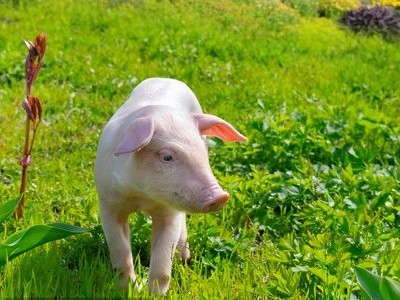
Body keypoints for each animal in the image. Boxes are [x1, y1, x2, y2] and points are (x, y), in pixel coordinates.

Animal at [94, 78, 247, 296]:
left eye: (202, 153)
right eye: (167, 157)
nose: (220, 196)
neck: (142, 196)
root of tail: (167, 79)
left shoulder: (169, 212)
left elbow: (163, 259)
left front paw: (154, 295)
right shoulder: (108, 202)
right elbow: (120, 252)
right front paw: (130, 289)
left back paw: (184, 258)